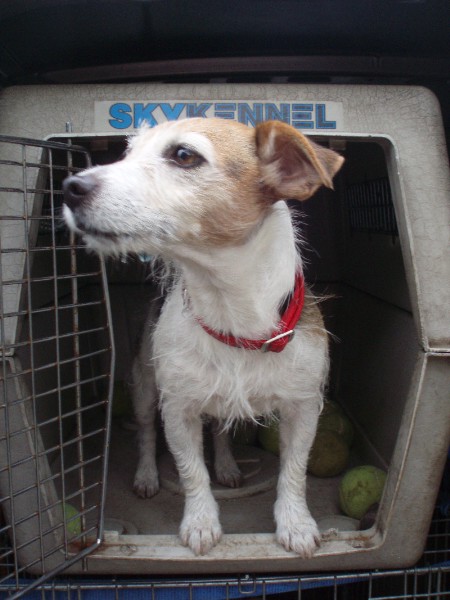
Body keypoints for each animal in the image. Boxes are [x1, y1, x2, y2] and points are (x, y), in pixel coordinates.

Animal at [62, 117, 344, 557]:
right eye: (128, 154)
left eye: (183, 155)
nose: (70, 186)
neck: (232, 314)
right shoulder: (179, 410)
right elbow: (191, 471)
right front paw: (200, 522)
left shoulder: (302, 410)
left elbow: (294, 471)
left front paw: (295, 523)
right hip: (144, 386)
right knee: (146, 432)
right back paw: (146, 474)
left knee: (221, 431)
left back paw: (227, 465)